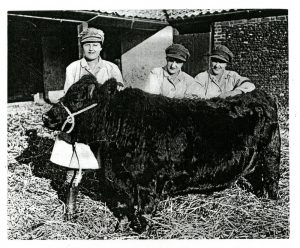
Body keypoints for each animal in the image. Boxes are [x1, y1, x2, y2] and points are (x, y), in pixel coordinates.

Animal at [42, 74, 282, 232]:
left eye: (76, 99)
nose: (46, 116)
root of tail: (259, 94)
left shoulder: (147, 182)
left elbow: (144, 211)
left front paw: (143, 231)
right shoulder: (122, 181)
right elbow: (125, 207)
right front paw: (121, 227)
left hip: (271, 156)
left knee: (272, 180)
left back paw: (270, 202)